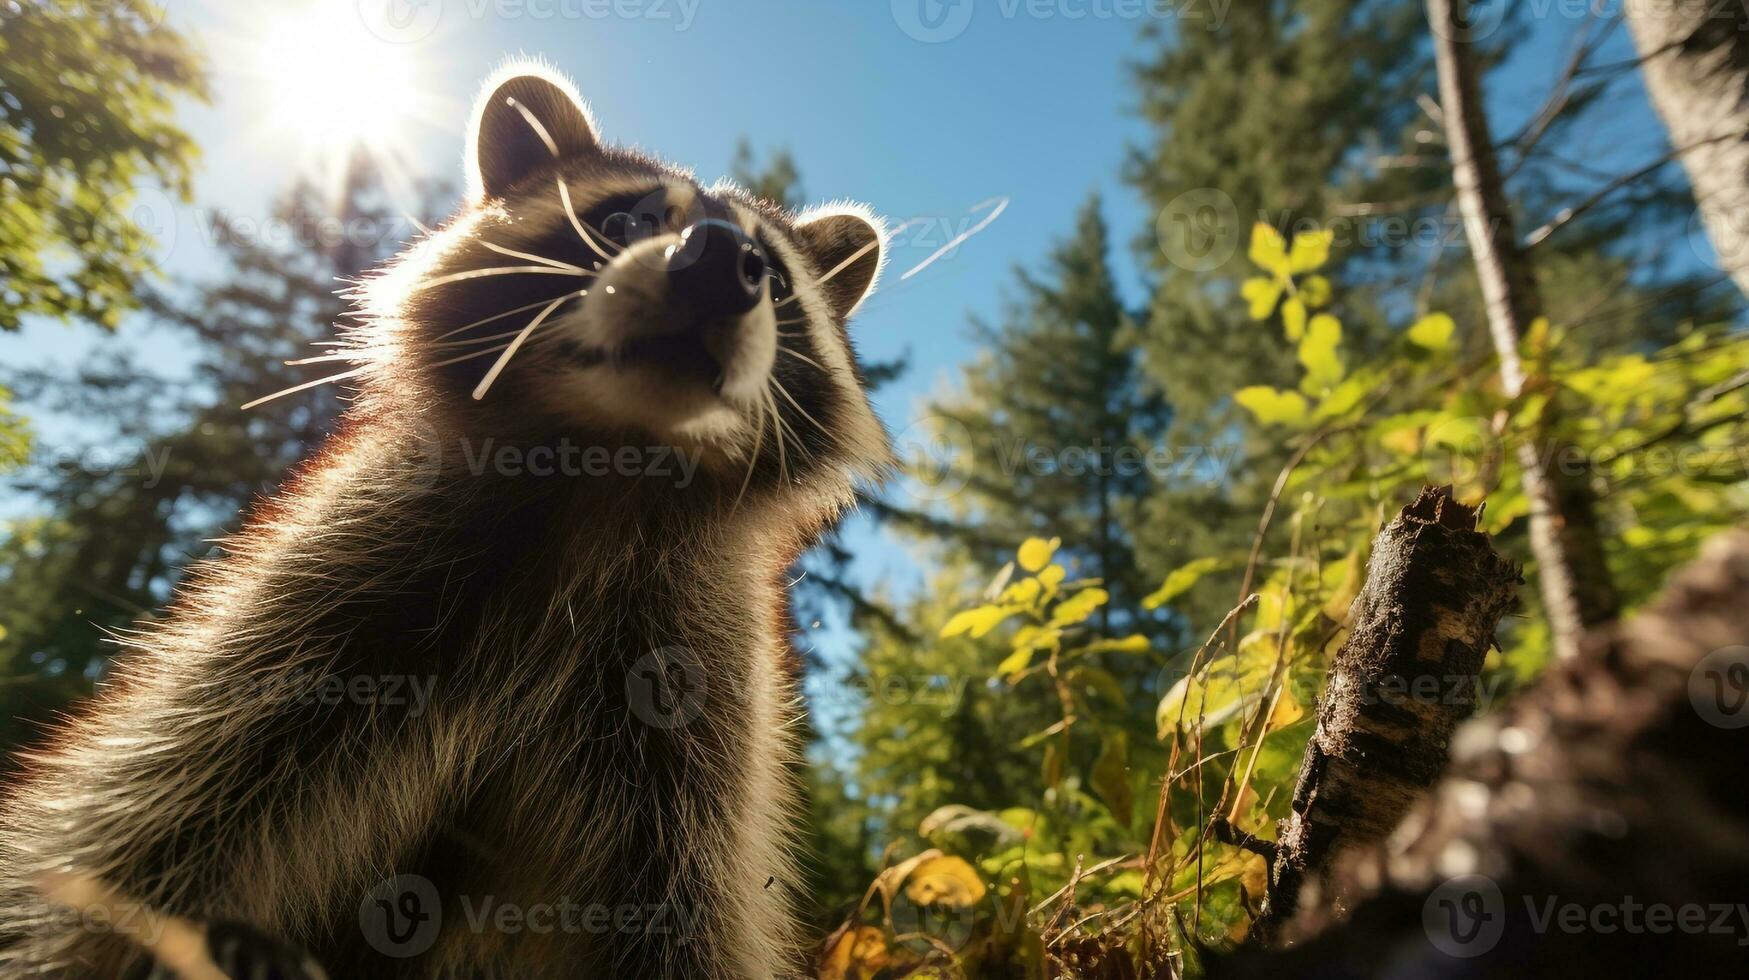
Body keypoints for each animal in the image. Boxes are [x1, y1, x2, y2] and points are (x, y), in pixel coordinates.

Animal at [0, 63, 895, 980]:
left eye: (771, 273)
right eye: (622, 219)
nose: (717, 262)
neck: (613, 468)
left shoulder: (687, 715)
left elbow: (691, 917)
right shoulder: (331, 610)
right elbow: (144, 832)